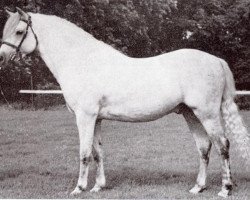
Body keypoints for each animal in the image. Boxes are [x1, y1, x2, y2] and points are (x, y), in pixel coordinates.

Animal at [0, 8, 249, 198]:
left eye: (19, 31)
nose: (2, 57)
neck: (82, 61)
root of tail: (216, 60)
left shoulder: (85, 117)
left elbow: (84, 152)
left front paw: (79, 188)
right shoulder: (96, 119)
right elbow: (98, 152)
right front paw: (98, 186)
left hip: (207, 114)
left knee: (223, 145)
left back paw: (225, 189)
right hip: (190, 113)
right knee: (204, 147)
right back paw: (198, 187)